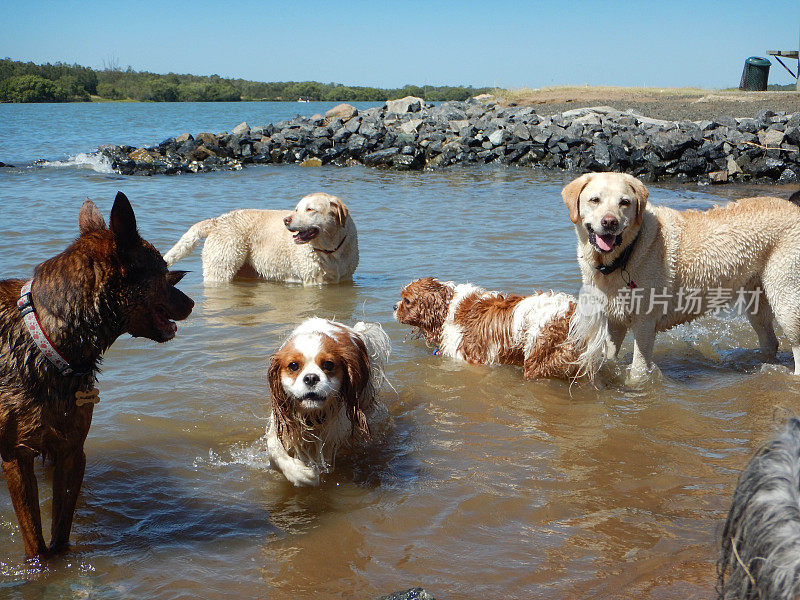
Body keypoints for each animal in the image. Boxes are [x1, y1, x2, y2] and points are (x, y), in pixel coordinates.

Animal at [0, 192, 193, 556]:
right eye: (162, 271)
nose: (191, 303)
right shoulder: (16, 456)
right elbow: (36, 543)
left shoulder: (72, 451)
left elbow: (60, 534)